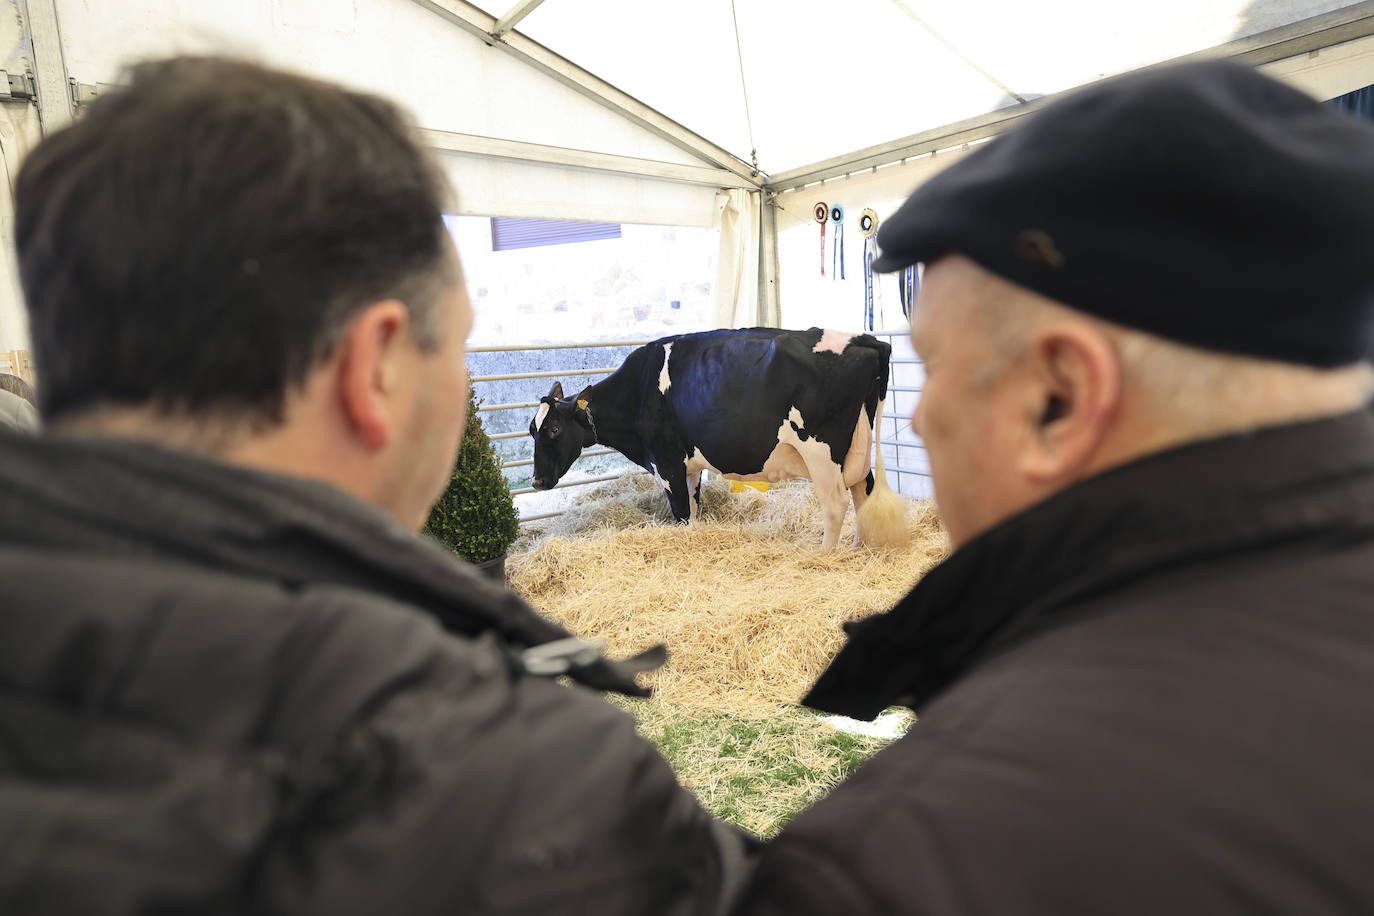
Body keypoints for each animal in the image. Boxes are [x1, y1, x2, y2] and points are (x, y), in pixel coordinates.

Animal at [530, 325, 906, 549]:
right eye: (532, 430)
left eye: (554, 429)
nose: (536, 481)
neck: (638, 390)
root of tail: (863, 339)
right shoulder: (689, 466)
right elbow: (694, 510)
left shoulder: (666, 463)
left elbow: (681, 513)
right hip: (857, 444)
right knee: (863, 492)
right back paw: (859, 547)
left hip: (821, 451)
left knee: (836, 503)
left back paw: (824, 554)